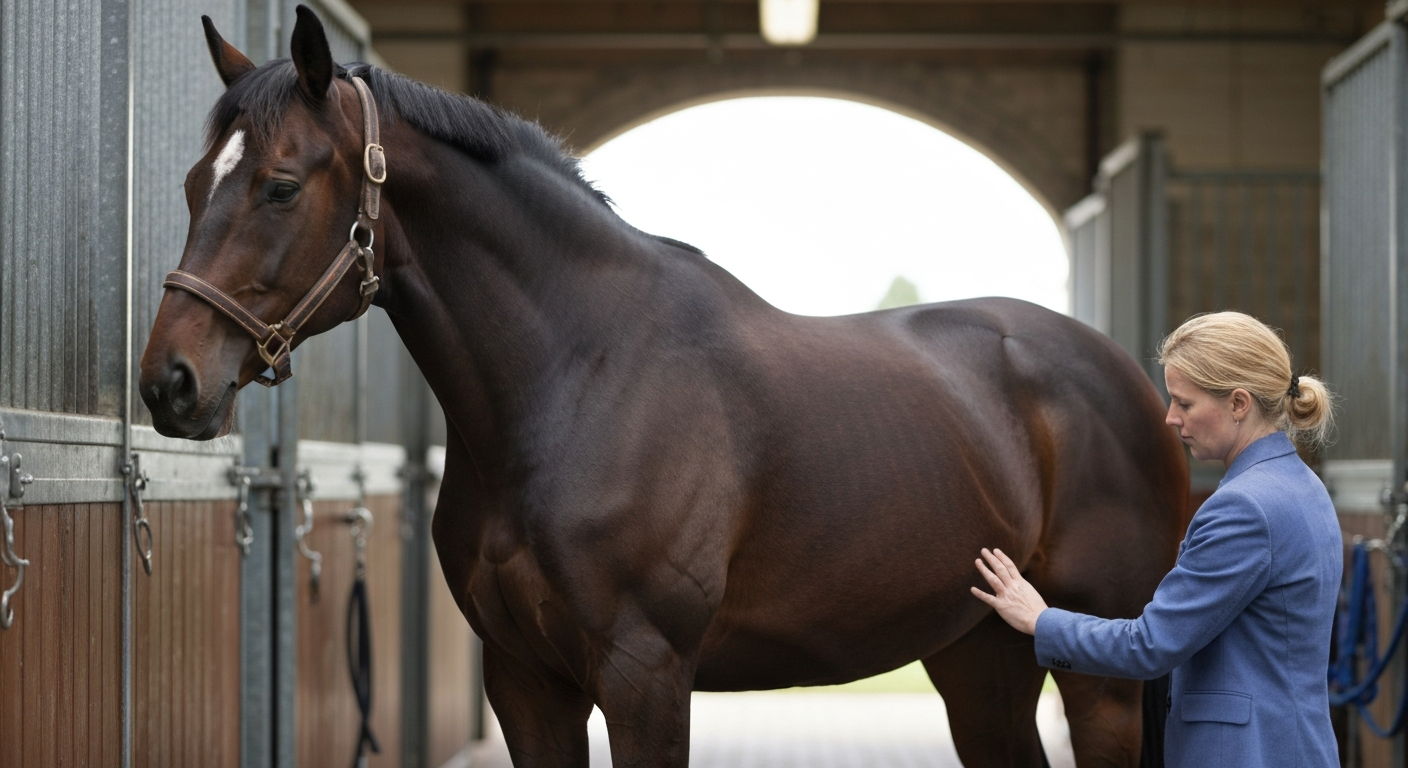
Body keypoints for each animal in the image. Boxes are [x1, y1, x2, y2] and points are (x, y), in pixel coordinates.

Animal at [140, 8, 1189, 766]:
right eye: (191, 184)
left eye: (280, 186)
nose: (169, 383)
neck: (579, 380)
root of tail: (1132, 379)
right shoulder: (526, 682)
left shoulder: (646, 675)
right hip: (979, 655)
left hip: (1101, 676)